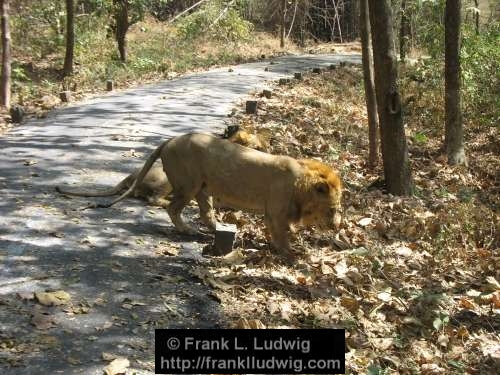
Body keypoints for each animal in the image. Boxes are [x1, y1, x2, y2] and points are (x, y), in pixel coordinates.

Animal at [95, 132, 342, 258]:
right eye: (332, 209)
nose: (337, 226)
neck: (301, 183)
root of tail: (169, 140)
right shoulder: (275, 213)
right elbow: (281, 236)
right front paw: (291, 254)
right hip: (189, 184)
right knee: (172, 208)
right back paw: (187, 230)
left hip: (203, 188)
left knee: (206, 214)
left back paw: (222, 230)